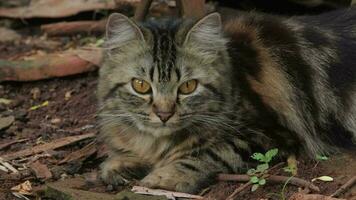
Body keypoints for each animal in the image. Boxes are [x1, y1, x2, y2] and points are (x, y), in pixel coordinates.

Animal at [96, 8, 356, 194]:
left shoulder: (270, 134)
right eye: (141, 86)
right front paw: (119, 164)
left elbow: (208, 153)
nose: (164, 114)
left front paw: (165, 177)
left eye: (188, 87)